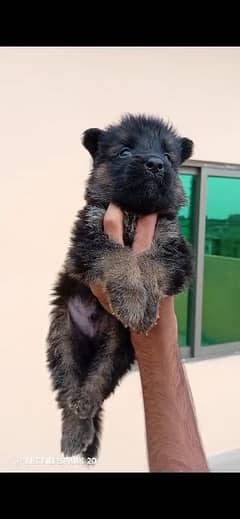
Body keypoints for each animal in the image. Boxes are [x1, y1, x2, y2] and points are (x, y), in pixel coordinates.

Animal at [46, 112, 193, 460]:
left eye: (168, 156)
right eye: (125, 152)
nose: (155, 164)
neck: (134, 212)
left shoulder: (175, 247)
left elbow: (149, 258)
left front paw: (141, 305)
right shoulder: (89, 240)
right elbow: (119, 257)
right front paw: (132, 299)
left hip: (116, 348)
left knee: (95, 385)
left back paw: (84, 412)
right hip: (62, 336)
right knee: (67, 390)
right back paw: (74, 431)